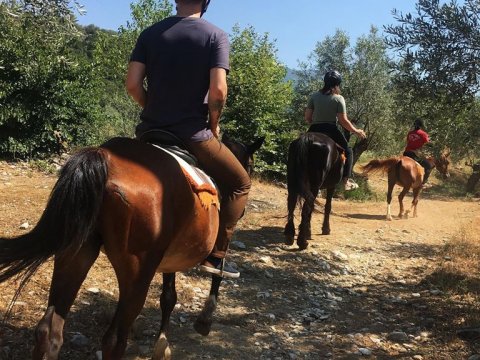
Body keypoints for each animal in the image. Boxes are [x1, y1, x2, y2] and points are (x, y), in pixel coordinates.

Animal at [0, 136, 262, 360]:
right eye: (249, 165)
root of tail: (106, 158)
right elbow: (217, 271)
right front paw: (205, 320)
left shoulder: (170, 258)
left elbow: (169, 297)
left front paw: (162, 346)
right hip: (137, 273)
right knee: (114, 340)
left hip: (75, 254)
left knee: (49, 330)